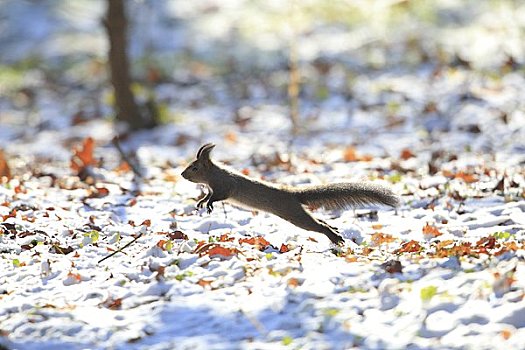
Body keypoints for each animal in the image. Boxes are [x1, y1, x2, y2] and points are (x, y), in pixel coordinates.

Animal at [180, 144, 398, 245]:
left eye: (195, 168)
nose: (182, 175)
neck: (214, 174)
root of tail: (292, 195)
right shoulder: (213, 187)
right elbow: (208, 195)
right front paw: (201, 202)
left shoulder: (225, 186)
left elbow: (219, 196)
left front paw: (209, 204)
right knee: (320, 221)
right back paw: (334, 231)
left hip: (293, 214)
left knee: (316, 225)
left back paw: (334, 237)